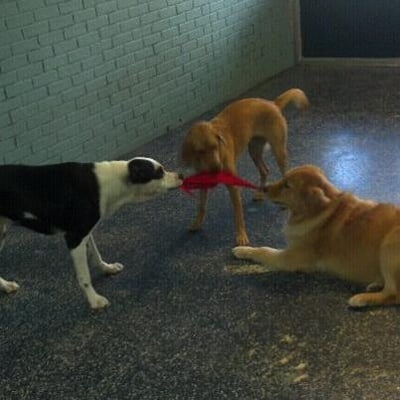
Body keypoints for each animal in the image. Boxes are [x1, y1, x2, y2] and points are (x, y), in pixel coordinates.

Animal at [0, 156, 183, 310]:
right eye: (159, 172)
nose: (181, 174)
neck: (112, 181)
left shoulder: (86, 233)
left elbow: (96, 255)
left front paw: (107, 269)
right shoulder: (74, 238)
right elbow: (84, 277)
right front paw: (94, 301)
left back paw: (6, 286)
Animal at [181, 89, 310, 245]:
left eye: (215, 146)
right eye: (201, 151)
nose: (217, 169)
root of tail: (272, 103)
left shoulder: (233, 186)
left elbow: (238, 213)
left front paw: (241, 235)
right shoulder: (203, 181)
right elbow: (201, 206)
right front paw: (197, 223)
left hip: (279, 151)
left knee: (285, 172)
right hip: (254, 150)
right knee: (265, 170)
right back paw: (260, 192)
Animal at [227, 164, 400, 308]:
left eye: (287, 185)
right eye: (283, 178)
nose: (264, 188)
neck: (321, 211)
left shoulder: (290, 258)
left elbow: (263, 250)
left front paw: (242, 250)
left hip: (388, 246)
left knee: (394, 294)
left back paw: (362, 299)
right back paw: (376, 283)